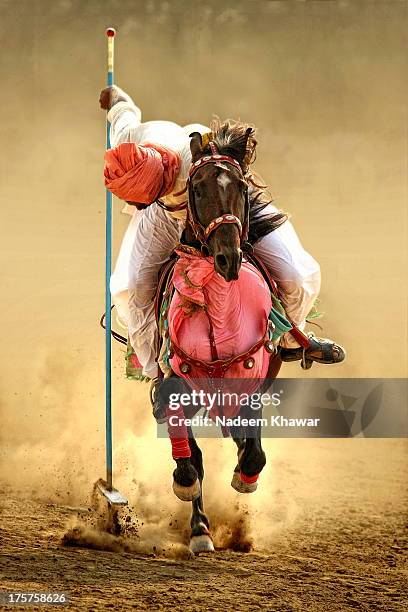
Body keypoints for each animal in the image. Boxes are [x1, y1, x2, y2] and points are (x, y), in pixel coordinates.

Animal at [155, 119, 286, 556]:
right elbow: (190, 460)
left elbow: (254, 451)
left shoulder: (253, 377)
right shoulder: (175, 380)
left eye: (241, 187)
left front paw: (245, 477)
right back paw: (199, 527)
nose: (228, 258)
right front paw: (197, 521)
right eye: (196, 189)